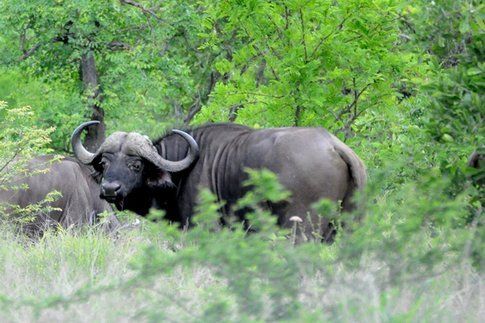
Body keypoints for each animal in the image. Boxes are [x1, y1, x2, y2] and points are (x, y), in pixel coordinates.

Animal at [72, 121, 364, 240]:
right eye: (104, 163)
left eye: (136, 165)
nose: (110, 189)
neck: (182, 171)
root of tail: (334, 146)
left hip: (301, 227)